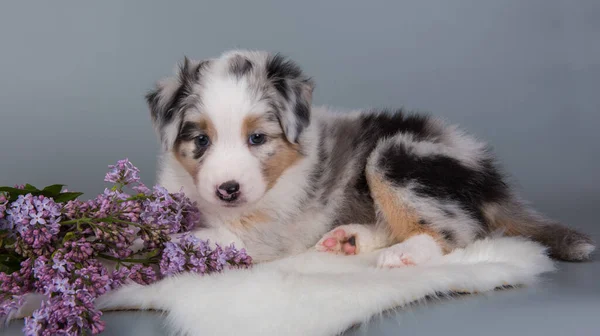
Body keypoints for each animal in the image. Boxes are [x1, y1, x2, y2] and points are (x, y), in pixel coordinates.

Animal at [151, 48, 596, 266]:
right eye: (201, 140)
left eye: (257, 138)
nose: (227, 189)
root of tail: (489, 176)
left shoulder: (273, 232)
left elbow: (223, 237)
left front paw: (170, 242)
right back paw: (350, 238)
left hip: (395, 156)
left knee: (459, 231)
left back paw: (405, 254)